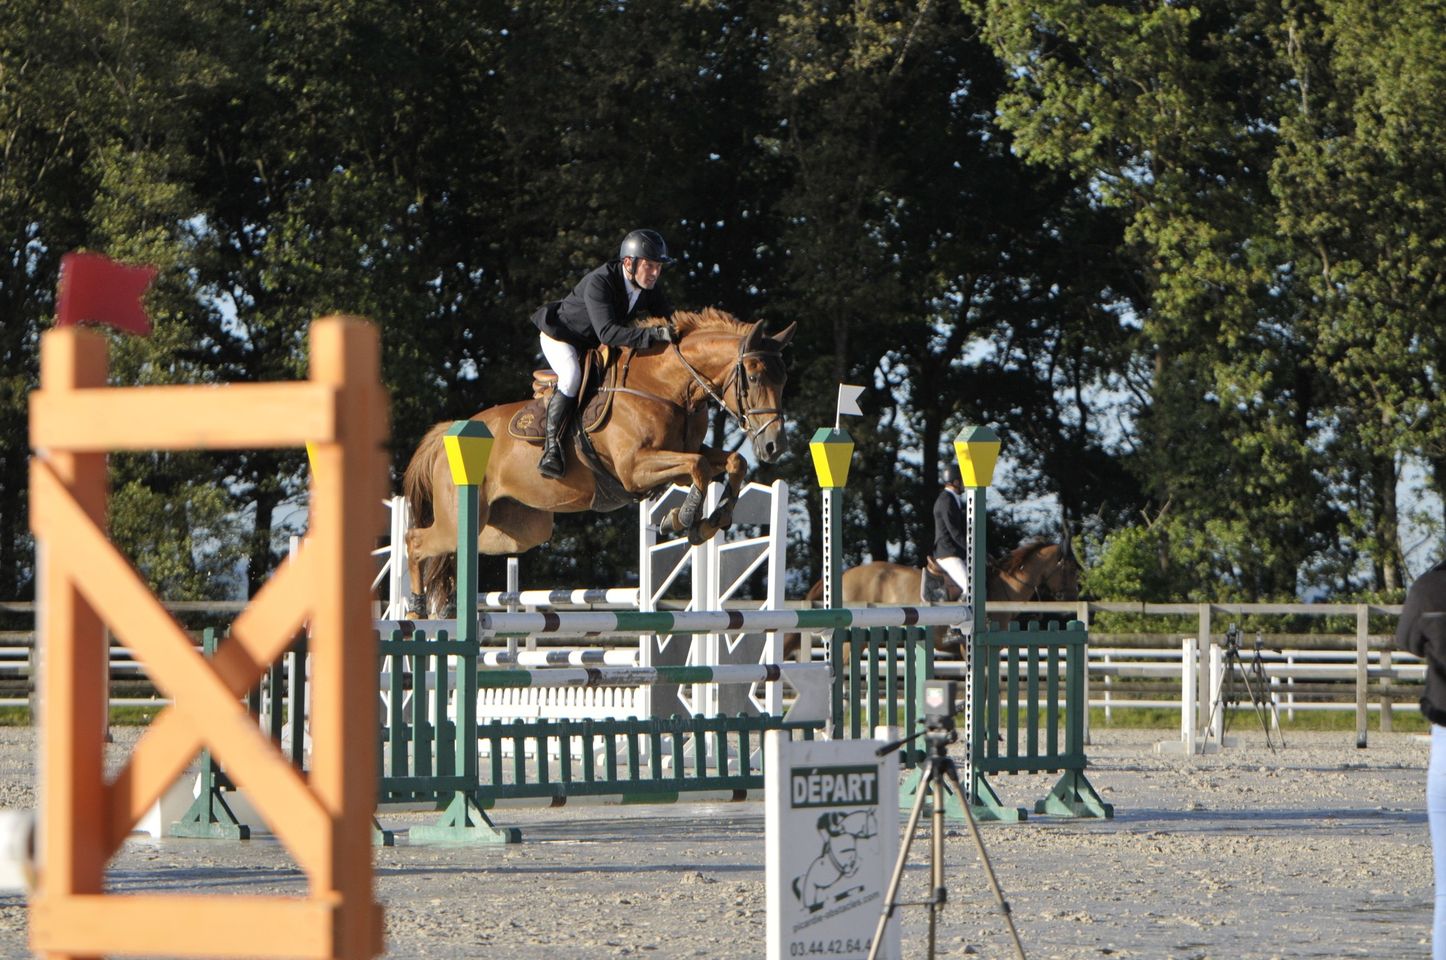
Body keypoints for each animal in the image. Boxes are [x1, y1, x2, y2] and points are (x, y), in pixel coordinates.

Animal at [401, 310, 798, 618]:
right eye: (755, 377)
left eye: (784, 380)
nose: (774, 445)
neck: (665, 385)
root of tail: (447, 433)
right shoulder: (635, 469)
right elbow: (700, 466)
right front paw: (683, 519)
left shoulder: (680, 458)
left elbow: (732, 462)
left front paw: (712, 522)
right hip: (459, 518)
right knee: (415, 541)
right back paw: (417, 608)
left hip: (514, 530)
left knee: (454, 549)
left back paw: (447, 607)